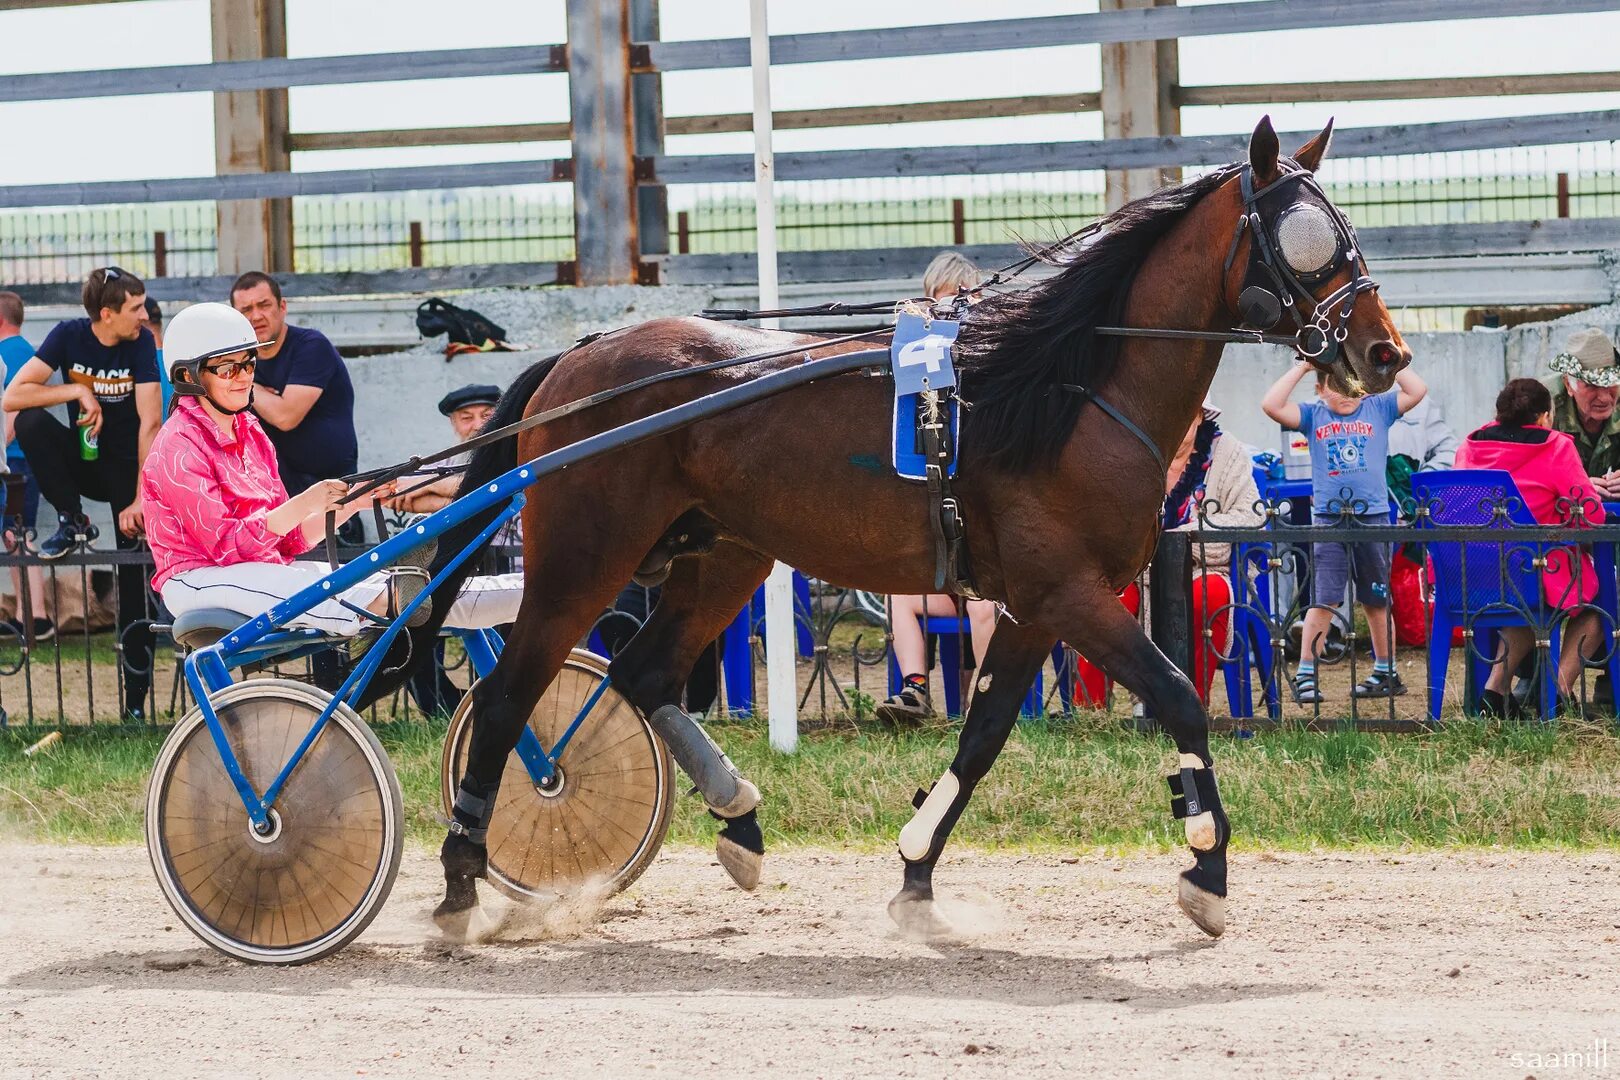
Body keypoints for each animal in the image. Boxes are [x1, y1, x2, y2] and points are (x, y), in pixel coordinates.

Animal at [367, 118, 1406, 939]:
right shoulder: (1068, 592)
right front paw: (1207, 865)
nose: (1384, 353)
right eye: (1308, 239)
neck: (1068, 392)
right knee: (509, 697)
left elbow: (982, 735)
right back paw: (461, 880)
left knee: (642, 672)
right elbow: (1184, 698)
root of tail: (580, 357)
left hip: (724, 554)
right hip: (584, 558)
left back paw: (739, 818)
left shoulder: (1032, 605)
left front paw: (915, 870)